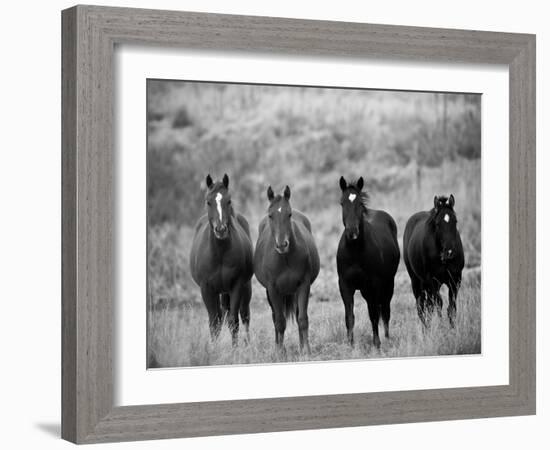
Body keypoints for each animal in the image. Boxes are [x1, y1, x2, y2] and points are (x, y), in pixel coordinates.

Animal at [190, 173, 254, 344]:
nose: (220, 230)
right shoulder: (206, 289)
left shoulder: (236, 286)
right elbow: (214, 323)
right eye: (208, 201)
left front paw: (235, 348)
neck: (219, 254)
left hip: (245, 288)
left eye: (229, 201)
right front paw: (214, 348)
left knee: (245, 315)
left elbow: (234, 321)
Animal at [256, 185, 322, 354]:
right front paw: (280, 353)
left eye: (289, 214)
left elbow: (302, 319)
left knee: (298, 316)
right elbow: (280, 322)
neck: (285, 258)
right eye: (270, 215)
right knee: (275, 318)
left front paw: (306, 351)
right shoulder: (272, 289)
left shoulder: (304, 285)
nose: (282, 245)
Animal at [336, 176, 402, 348]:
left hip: (387, 284)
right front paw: (351, 345)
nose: (352, 232)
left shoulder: (373, 285)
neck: (355, 253)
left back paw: (386, 338)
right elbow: (349, 317)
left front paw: (377, 343)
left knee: (385, 310)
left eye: (360, 203)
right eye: (342, 203)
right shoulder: (345, 286)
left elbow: (374, 315)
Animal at [406, 193, 466, 326]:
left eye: (455, 221)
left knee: (428, 306)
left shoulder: (455, 279)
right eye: (438, 224)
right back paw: (426, 329)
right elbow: (439, 304)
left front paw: (452, 328)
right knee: (421, 307)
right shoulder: (432, 281)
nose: (449, 252)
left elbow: (451, 308)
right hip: (416, 281)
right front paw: (442, 327)